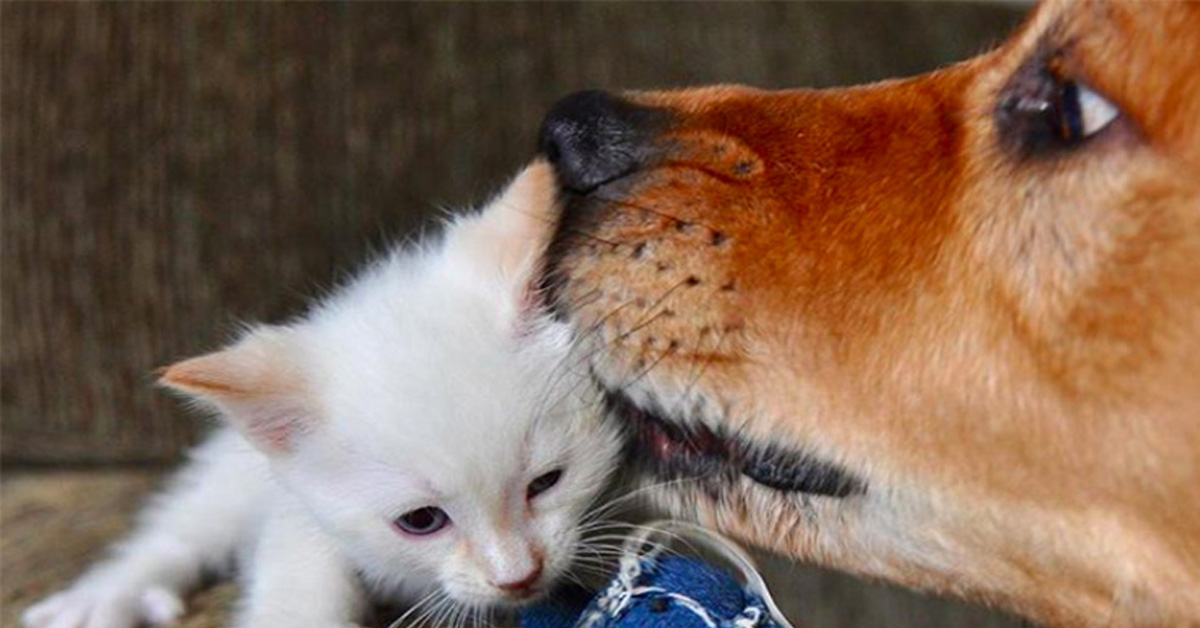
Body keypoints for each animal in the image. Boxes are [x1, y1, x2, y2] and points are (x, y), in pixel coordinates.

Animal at [23, 163, 624, 628]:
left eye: (547, 482)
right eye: (421, 521)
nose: (518, 576)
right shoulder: (296, 507)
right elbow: (299, 569)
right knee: (186, 525)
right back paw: (107, 594)